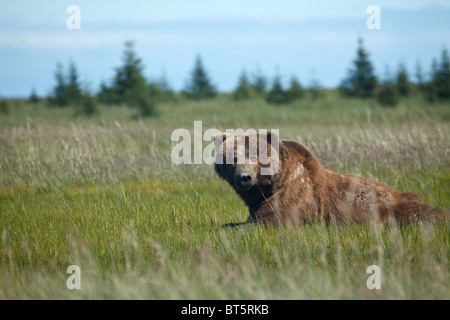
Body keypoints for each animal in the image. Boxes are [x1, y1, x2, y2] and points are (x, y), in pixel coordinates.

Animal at [214, 131, 446, 226]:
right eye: (232, 158)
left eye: (255, 156)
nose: (244, 178)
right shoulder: (257, 201)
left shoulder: (294, 198)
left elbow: (271, 222)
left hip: (395, 208)